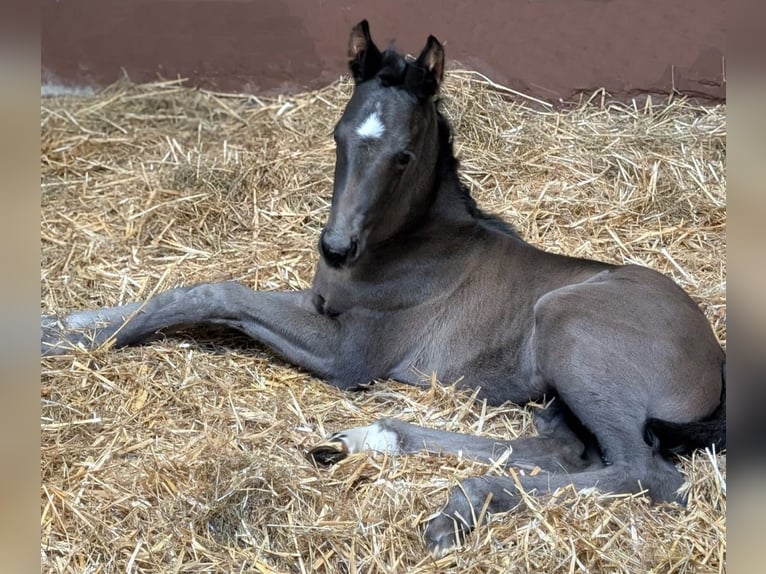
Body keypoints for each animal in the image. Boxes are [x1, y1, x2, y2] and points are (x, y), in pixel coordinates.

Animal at [41, 20, 726, 555]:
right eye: (339, 135)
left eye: (403, 155)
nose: (335, 247)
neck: (404, 245)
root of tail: (716, 362)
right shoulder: (319, 305)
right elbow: (183, 292)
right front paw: (60, 329)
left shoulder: (348, 352)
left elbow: (214, 294)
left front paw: (91, 340)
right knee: (562, 450)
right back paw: (380, 440)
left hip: (569, 327)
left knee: (642, 474)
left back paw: (459, 505)